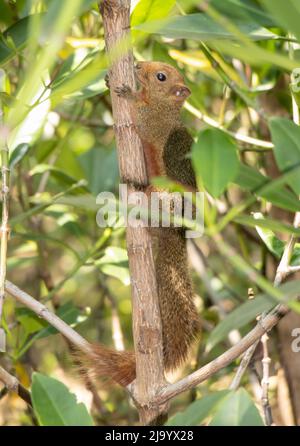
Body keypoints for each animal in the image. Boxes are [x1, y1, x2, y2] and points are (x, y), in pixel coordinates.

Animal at [84, 61, 202, 386]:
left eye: (161, 76)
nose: (137, 64)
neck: (164, 106)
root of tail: (176, 234)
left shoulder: (151, 122)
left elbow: (138, 116)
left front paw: (128, 94)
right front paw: (110, 79)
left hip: (167, 198)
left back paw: (138, 189)